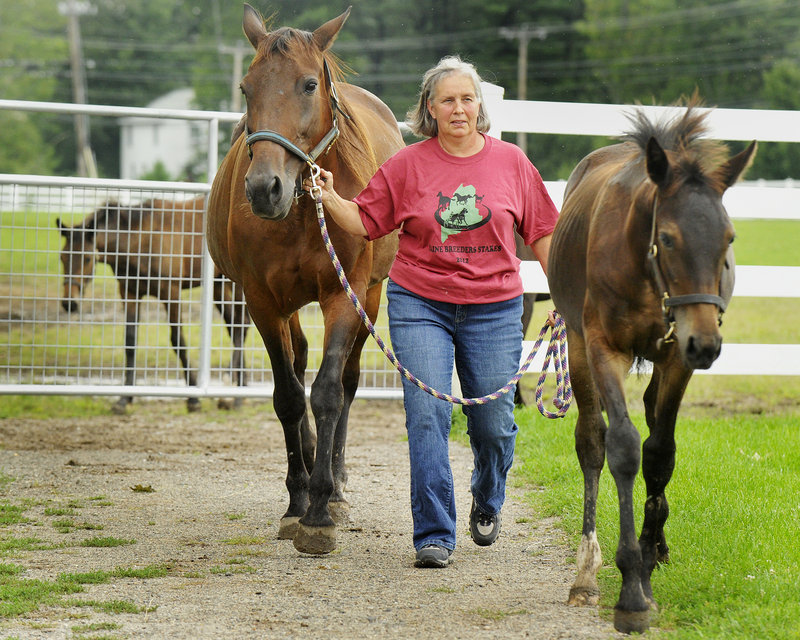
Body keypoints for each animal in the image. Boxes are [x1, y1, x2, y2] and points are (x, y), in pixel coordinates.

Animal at [56, 196, 248, 416]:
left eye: (87, 258)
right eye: (62, 257)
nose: (69, 303)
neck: (141, 238)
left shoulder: (170, 292)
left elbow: (178, 340)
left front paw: (193, 398)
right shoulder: (129, 292)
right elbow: (130, 342)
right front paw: (125, 399)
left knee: (241, 325)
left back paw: (233, 392)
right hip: (219, 286)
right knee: (235, 327)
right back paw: (240, 389)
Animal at [206, 6, 404, 556]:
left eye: (309, 84)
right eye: (246, 87)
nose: (263, 189)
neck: (300, 208)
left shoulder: (343, 294)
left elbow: (329, 392)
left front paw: (320, 510)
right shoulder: (262, 302)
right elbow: (289, 396)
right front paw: (297, 502)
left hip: (370, 299)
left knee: (349, 381)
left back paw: (335, 483)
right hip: (290, 306)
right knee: (296, 362)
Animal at [552, 102, 756, 632]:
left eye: (729, 238)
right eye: (667, 236)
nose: (707, 344)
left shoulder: (676, 357)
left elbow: (660, 453)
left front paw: (646, 556)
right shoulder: (604, 348)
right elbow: (622, 447)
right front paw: (631, 591)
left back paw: (657, 542)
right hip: (577, 347)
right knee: (591, 440)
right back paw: (586, 572)